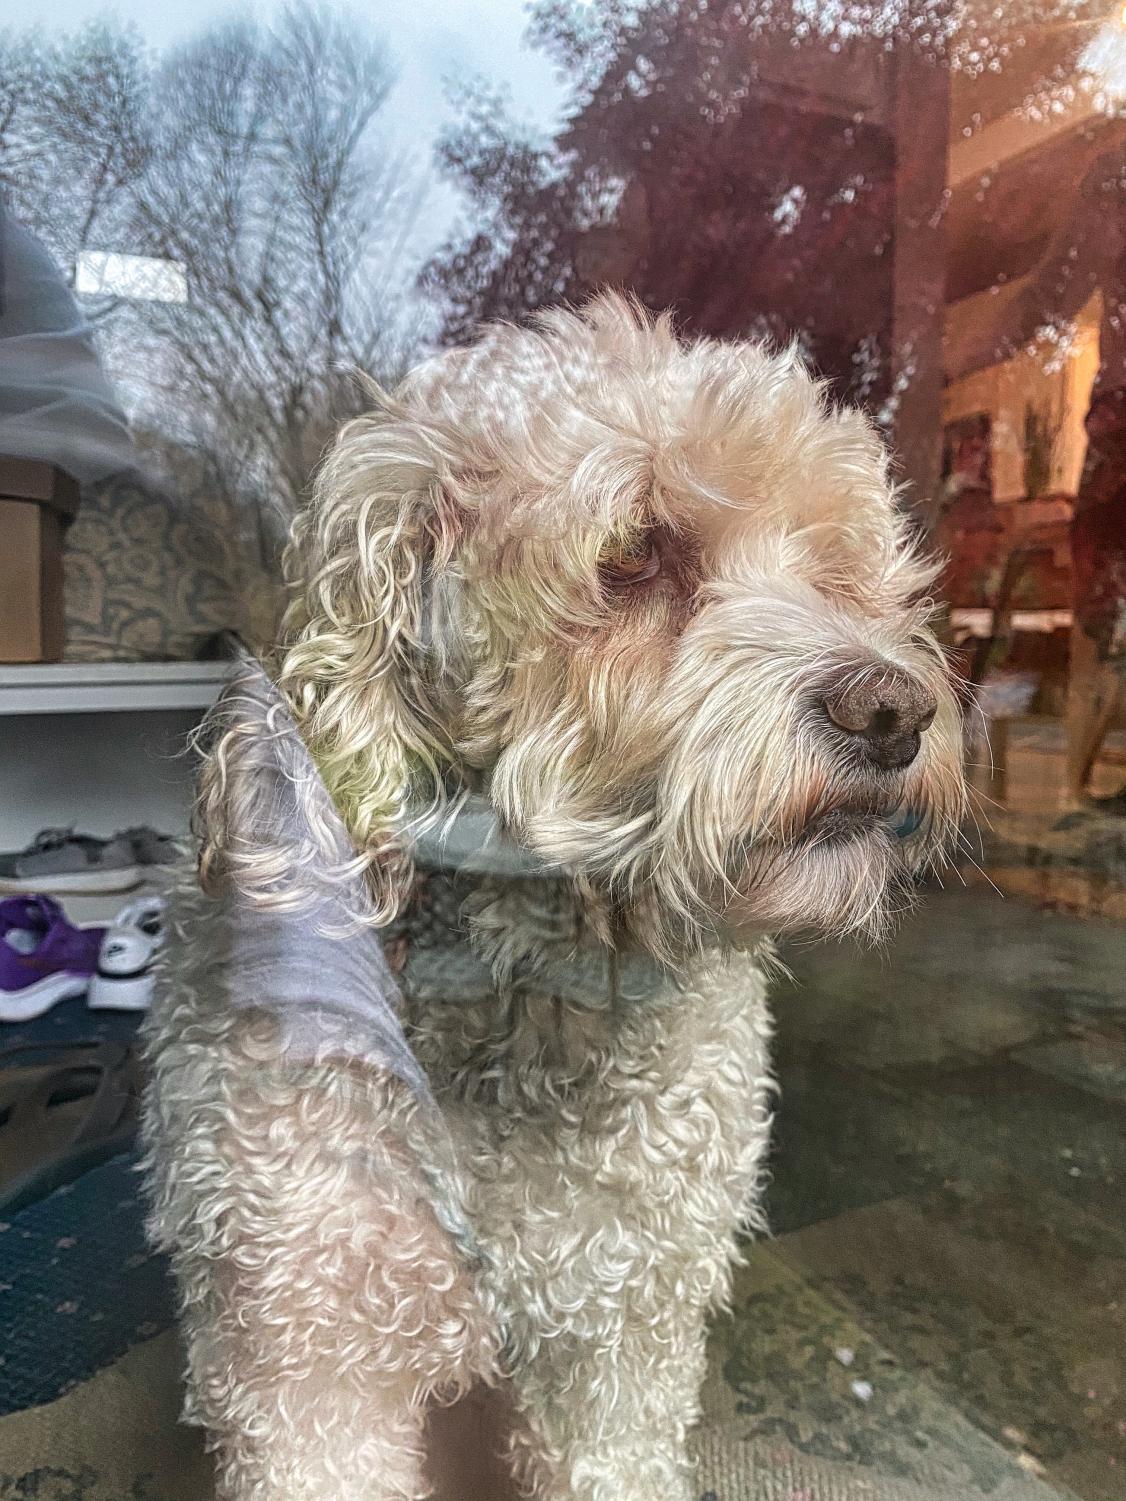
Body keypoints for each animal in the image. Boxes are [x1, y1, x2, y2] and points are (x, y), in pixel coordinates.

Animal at [141, 295, 972, 1501]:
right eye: (634, 553)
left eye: (834, 564)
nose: (895, 710)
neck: (532, 996)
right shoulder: (305, 1357)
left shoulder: (627, 1338)